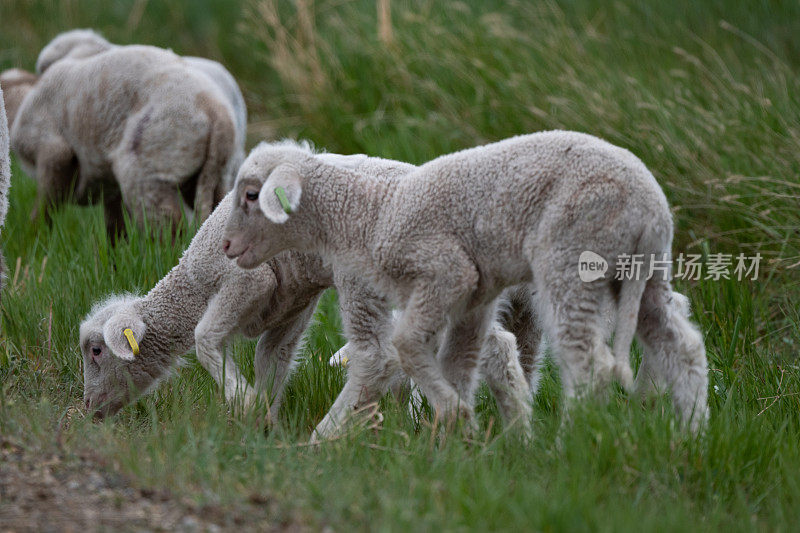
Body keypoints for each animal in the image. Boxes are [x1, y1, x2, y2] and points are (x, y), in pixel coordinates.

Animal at [0, 34, 244, 238]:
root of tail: (216, 113)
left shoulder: (52, 151)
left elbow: (43, 212)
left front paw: (33, 245)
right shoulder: (108, 187)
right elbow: (115, 231)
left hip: (147, 168)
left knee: (169, 229)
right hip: (213, 177)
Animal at [79, 151, 536, 436]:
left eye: (97, 351)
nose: (89, 411)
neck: (192, 284)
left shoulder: (246, 279)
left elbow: (205, 338)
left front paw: (242, 402)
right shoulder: (292, 302)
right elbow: (272, 360)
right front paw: (260, 423)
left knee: (378, 357)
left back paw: (327, 437)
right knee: (496, 345)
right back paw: (517, 431)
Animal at [222, 131, 708, 430]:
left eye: (251, 195)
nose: (226, 246)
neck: (373, 213)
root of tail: (649, 203)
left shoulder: (444, 272)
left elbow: (404, 347)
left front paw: (451, 417)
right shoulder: (471, 299)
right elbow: (455, 362)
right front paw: (452, 435)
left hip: (572, 257)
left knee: (590, 362)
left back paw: (575, 446)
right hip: (639, 271)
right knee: (680, 342)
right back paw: (689, 434)